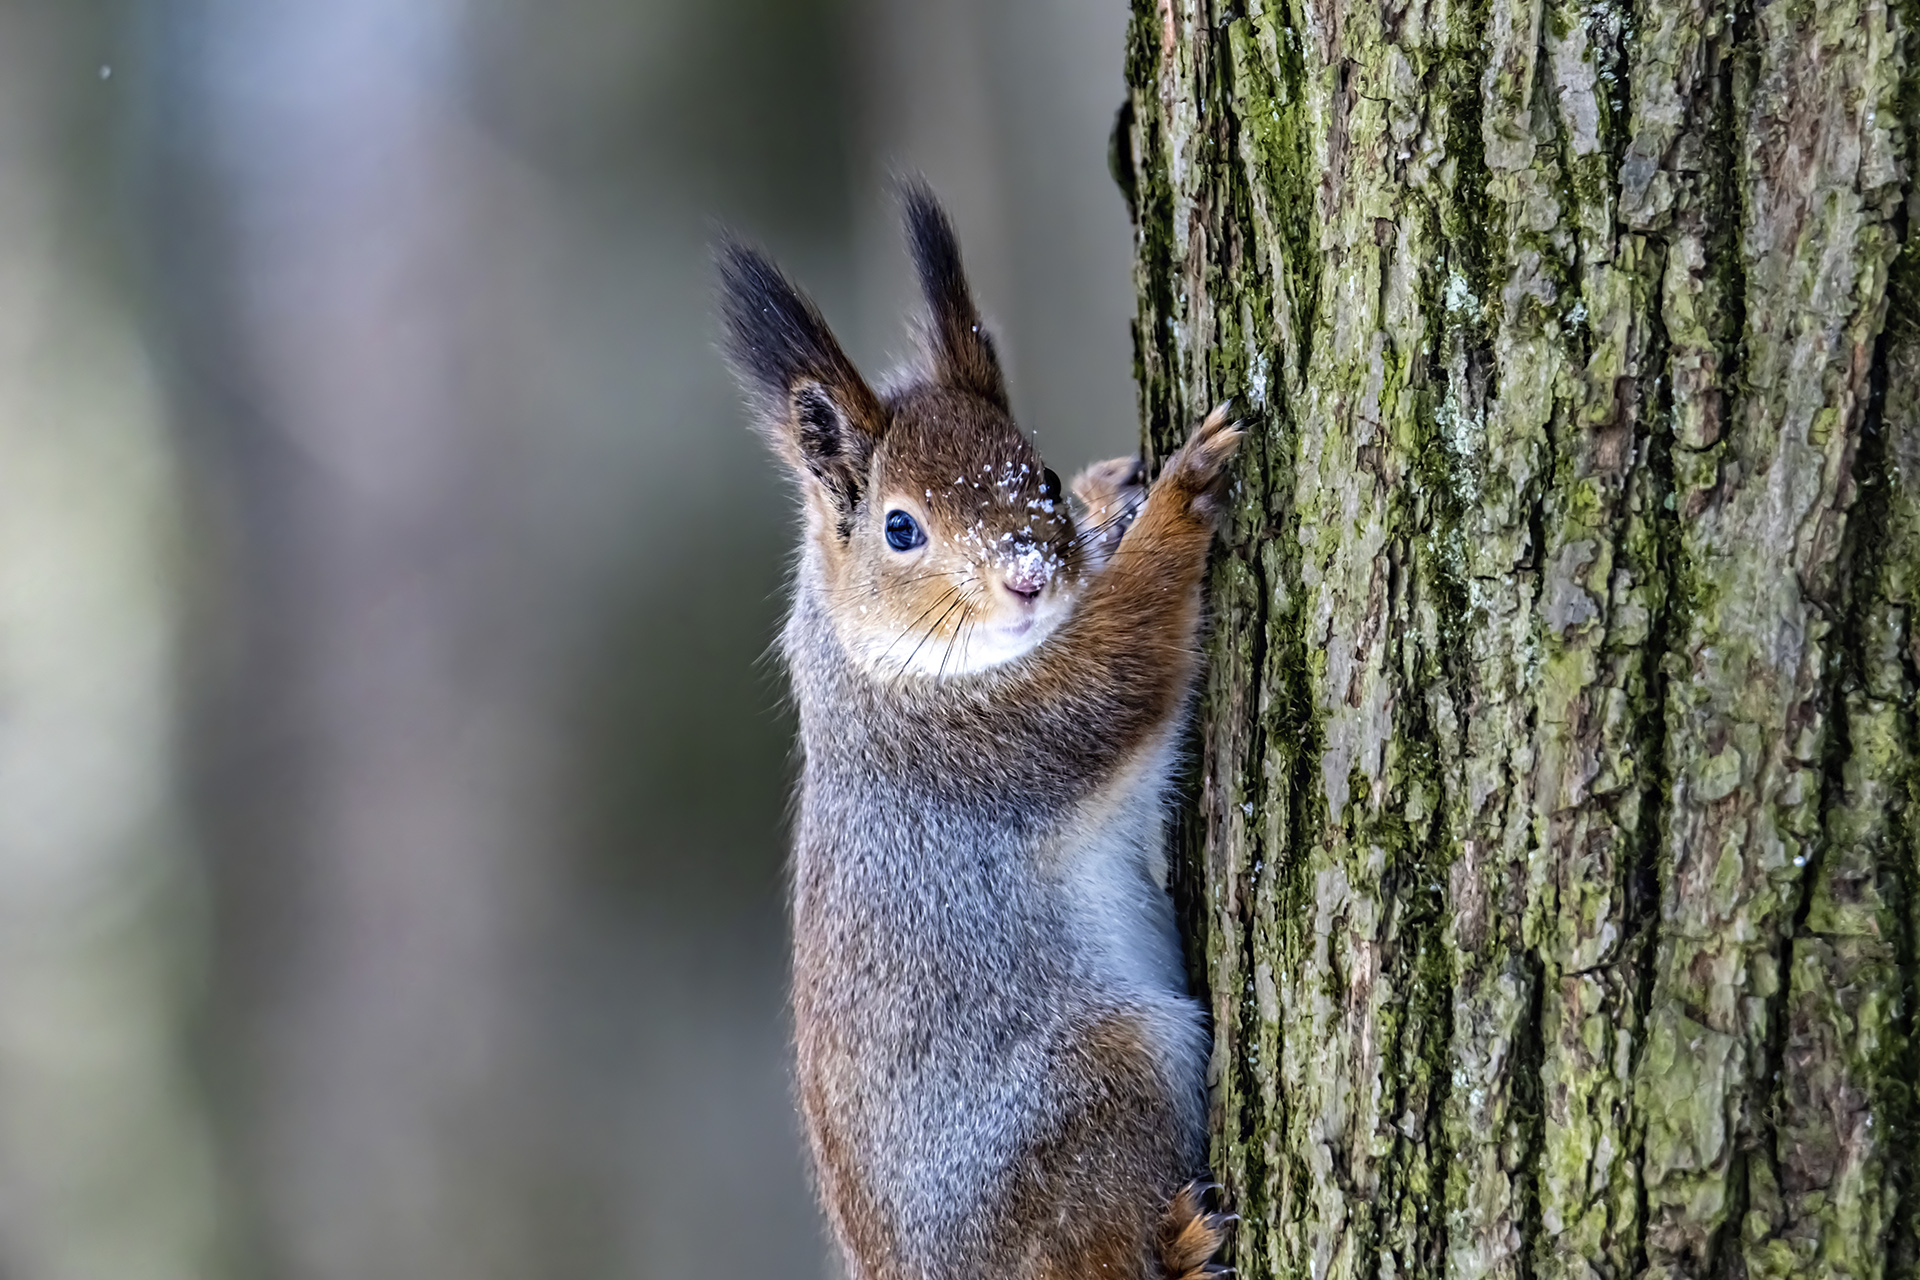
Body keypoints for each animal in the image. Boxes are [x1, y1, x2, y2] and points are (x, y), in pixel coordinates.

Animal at [721, 182, 1244, 1280]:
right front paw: (1179, 499)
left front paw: (1117, 490)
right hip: (1100, 1083)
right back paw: (1180, 1243)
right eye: (901, 528)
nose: (1029, 576)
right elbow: (1121, 668)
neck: (869, 667)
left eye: (1035, 469)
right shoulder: (987, 740)